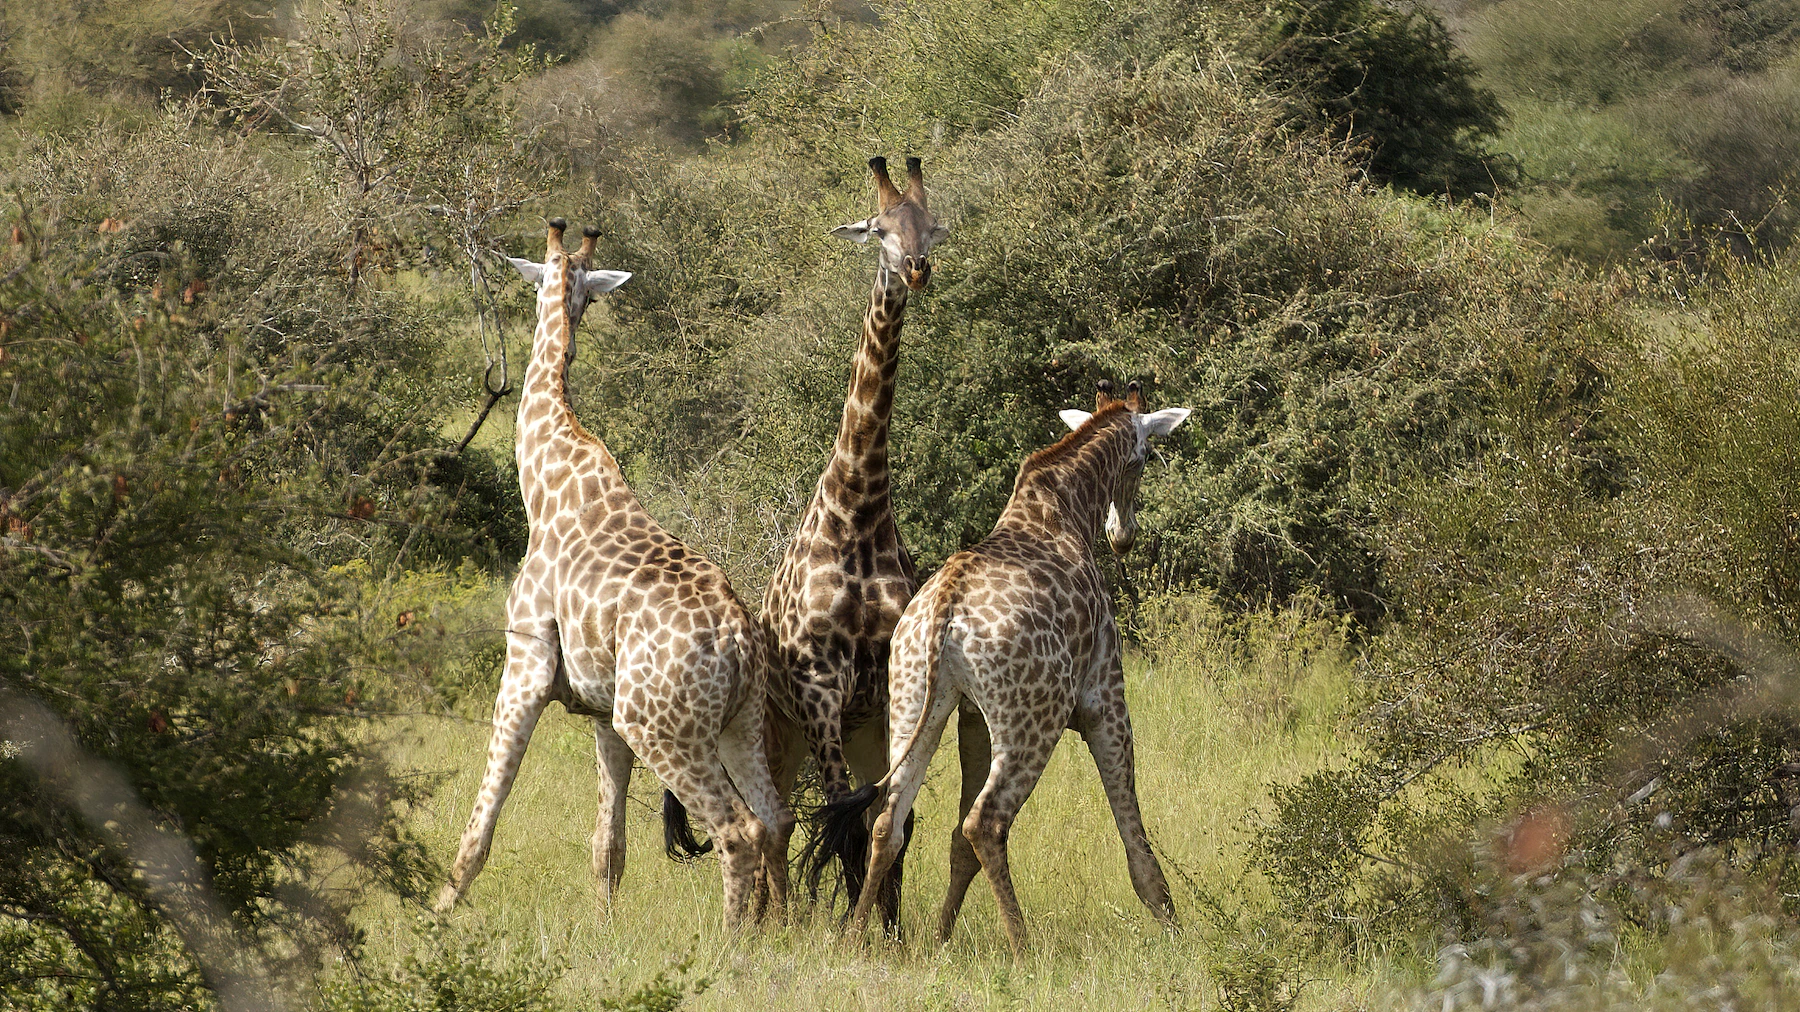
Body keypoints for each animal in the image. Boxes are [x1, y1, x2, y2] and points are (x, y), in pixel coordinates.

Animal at [434, 218, 792, 930]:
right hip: (736, 721)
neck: (544, 478)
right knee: (775, 817)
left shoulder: (526, 661)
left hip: (659, 723)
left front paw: (439, 906)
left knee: (738, 831)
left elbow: (485, 815)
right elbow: (608, 843)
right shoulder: (600, 709)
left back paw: (734, 941)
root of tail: (739, 642)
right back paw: (788, 930)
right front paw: (603, 926)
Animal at [838, 380, 1189, 954]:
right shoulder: (1105, 697)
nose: (1124, 536)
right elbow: (1132, 824)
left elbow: (952, 843)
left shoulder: (973, 718)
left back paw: (855, 937)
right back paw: (1023, 949)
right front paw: (1171, 921)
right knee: (985, 822)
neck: (1066, 510)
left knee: (889, 819)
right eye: (1144, 458)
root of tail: (944, 610)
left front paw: (941, 938)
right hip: (1034, 721)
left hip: (915, 702)